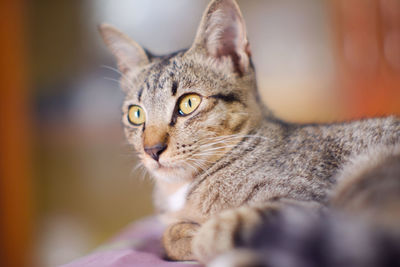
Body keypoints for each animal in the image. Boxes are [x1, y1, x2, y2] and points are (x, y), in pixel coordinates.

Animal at [97, 0, 400, 266]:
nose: (152, 150)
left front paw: (199, 236)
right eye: (136, 114)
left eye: (188, 103)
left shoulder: (307, 207)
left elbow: (216, 231)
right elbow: (170, 234)